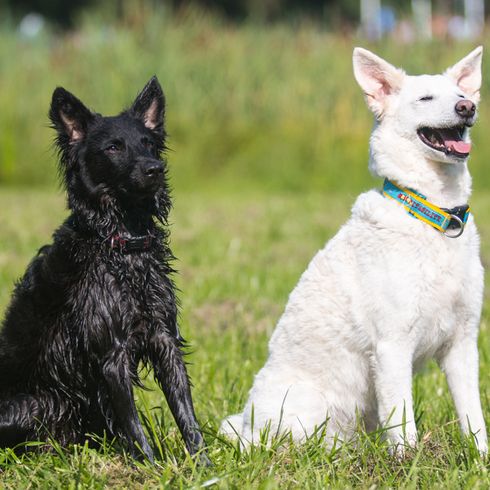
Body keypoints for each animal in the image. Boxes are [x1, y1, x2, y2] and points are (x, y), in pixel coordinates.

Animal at [0, 76, 209, 464]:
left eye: (148, 143)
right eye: (113, 148)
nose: (155, 169)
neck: (124, 245)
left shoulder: (165, 339)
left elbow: (187, 414)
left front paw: (203, 465)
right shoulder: (111, 352)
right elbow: (134, 427)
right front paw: (152, 468)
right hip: (28, 405)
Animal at [221, 47, 486, 454]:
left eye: (461, 93)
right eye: (426, 98)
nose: (467, 107)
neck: (433, 215)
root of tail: (248, 425)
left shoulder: (463, 343)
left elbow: (474, 417)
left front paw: (480, 457)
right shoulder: (392, 346)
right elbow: (403, 420)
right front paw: (408, 461)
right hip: (307, 409)